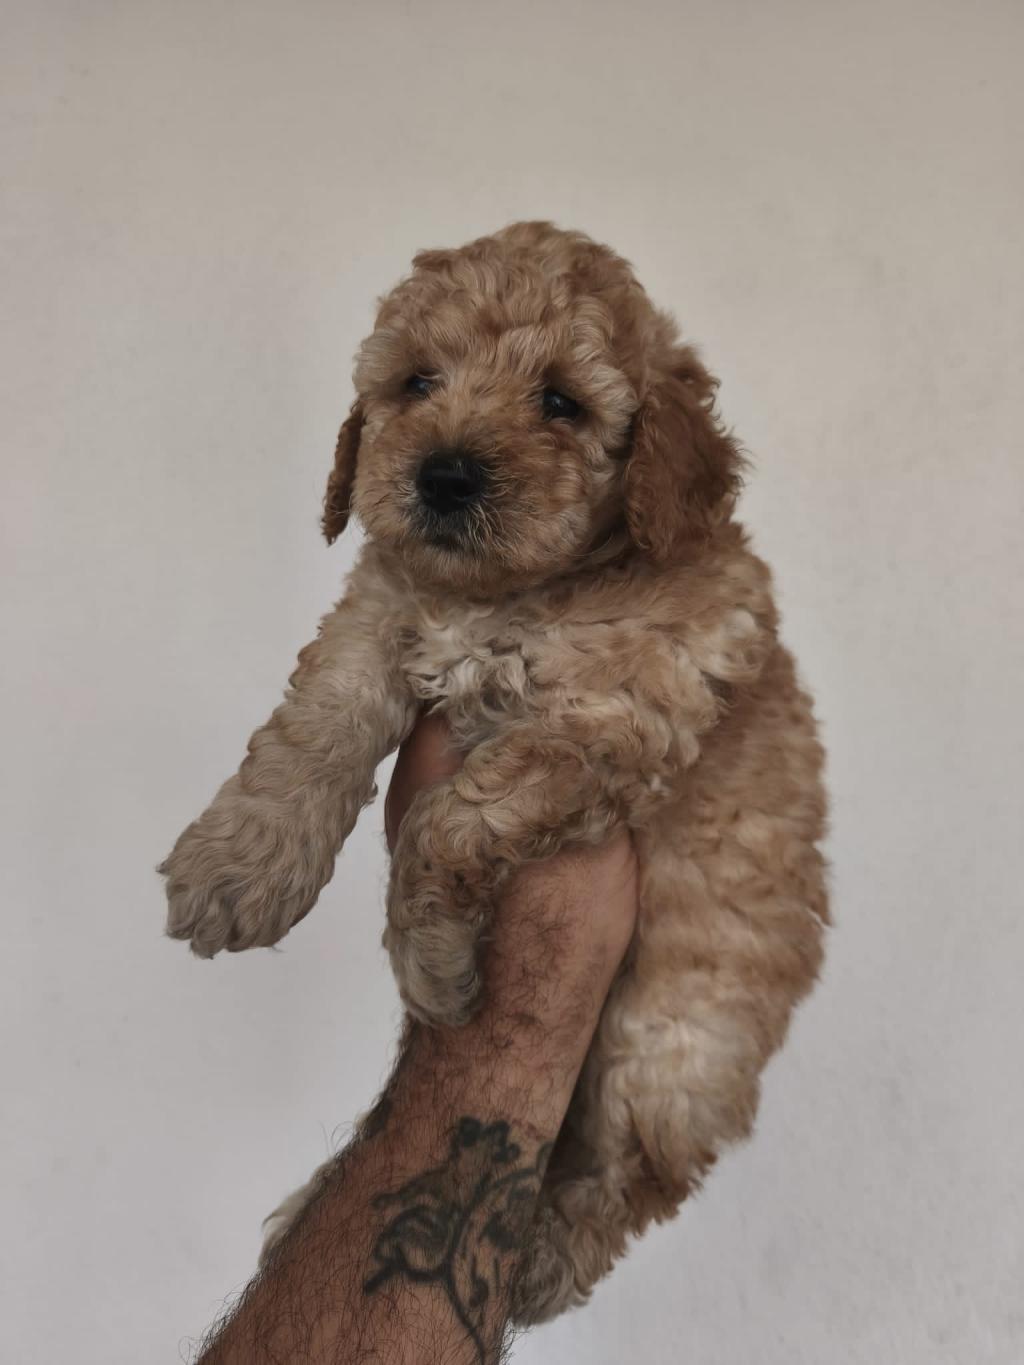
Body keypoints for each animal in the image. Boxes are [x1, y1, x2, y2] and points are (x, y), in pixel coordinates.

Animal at [161, 221, 828, 1322]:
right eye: (416, 382)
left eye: (560, 401)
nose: (443, 476)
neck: (509, 596)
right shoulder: (377, 614)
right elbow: (312, 728)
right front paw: (239, 863)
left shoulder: (610, 726)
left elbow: (449, 821)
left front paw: (432, 963)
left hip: (677, 1040)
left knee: (630, 1175)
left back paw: (544, 1257)